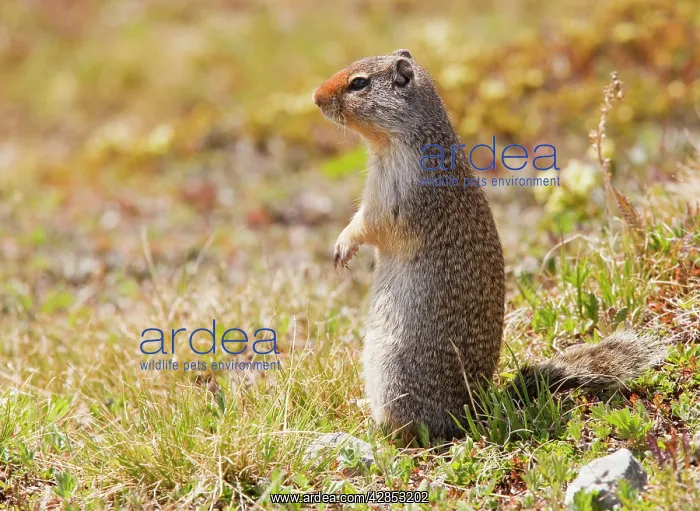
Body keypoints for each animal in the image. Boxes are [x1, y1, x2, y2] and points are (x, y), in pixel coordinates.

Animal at [312, 49, 667, 442]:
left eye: (358, 83)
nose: (315, 97)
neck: (402, 139)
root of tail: (473, 409)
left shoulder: (394, 195)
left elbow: (371, 224)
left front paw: (343, 246)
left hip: (394, 375)